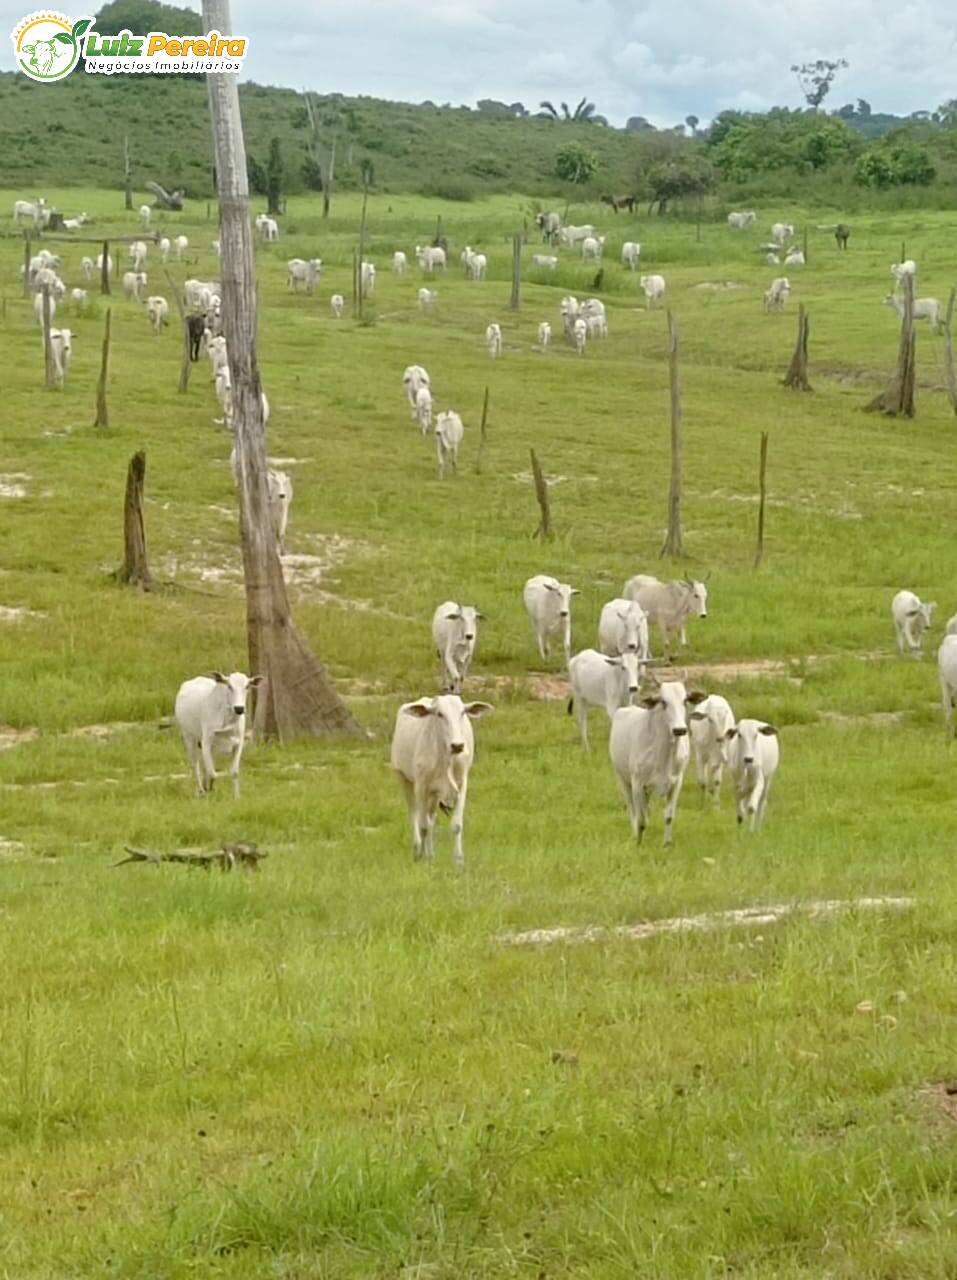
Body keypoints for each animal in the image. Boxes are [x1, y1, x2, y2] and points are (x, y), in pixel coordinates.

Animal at [388, 696, 493, 865]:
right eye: (439, 714)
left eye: (462, 712)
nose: (457, 745)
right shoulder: (421, 786)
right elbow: (423, 825)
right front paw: (422, 859)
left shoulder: (461, 785)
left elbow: (456, 825)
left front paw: (458, 860)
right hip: (403, 778)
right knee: (414, 815)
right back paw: (417, 849)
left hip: (434, 794)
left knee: (431, 818)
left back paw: (430, 853)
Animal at [609, 675, 706, 844]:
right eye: (663, 702)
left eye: (685, 700)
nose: (679, 730)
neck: (664, 754)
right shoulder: (637, 783)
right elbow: (641, 819)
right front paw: (638, 843)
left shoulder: (676, 783)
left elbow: (668, 816)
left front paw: (666, 844)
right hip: (622, 779)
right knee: (632, 809)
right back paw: (634, 833)